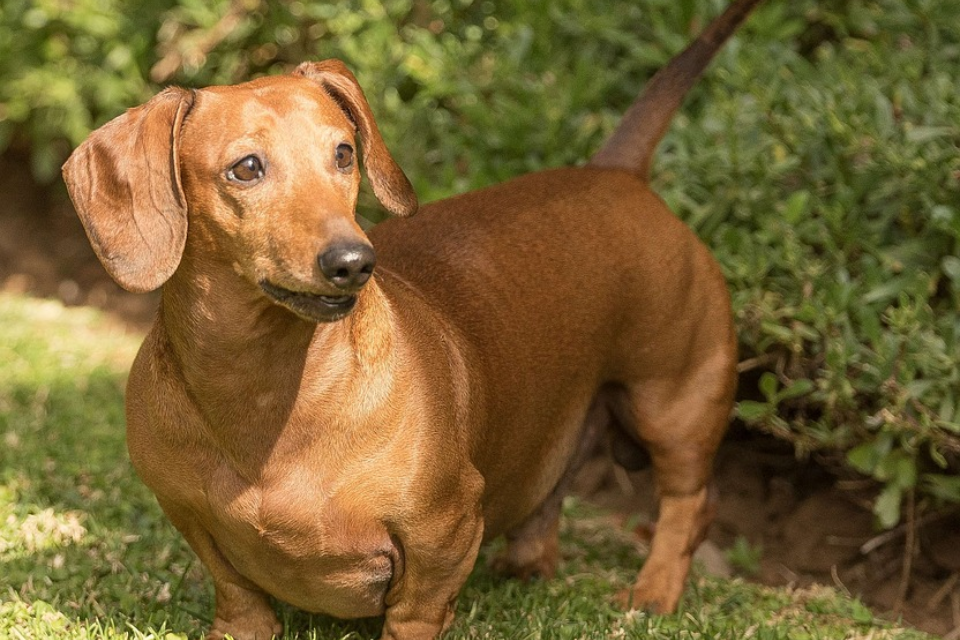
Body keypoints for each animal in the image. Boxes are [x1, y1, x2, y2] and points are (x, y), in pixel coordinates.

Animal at [63, 2, 760, 636]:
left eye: (344, 153)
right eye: (247, 168)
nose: (354, 261)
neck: (264, 395)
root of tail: (617, 172)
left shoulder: (442, 531)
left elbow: (417, 610)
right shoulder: (189, 517)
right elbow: (238, 596)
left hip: (674, 400)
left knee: (690, 503)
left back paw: (654, 590)